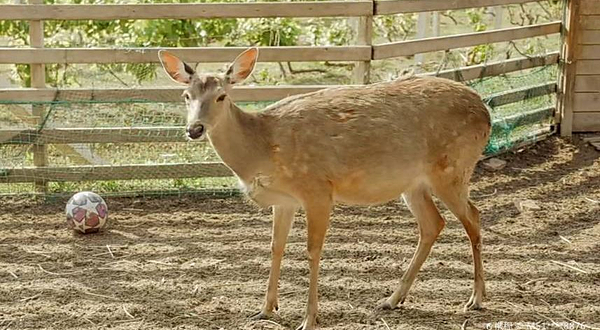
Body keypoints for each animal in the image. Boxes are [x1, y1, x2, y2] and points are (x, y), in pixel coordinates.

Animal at [159, 47, 492, 330]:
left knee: (473, 217)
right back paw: (392, 299)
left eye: (221, 97)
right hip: (413, 183)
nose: (194, 129)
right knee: (433, 223)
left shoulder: (317, 189)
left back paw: (475, 299)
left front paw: (309, 318)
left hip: (453, 169)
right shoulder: (285, 200)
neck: (263, 149)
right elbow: (276, 246)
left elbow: (312, 250)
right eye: (186, 95)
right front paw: (265, 309)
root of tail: (486, 111)